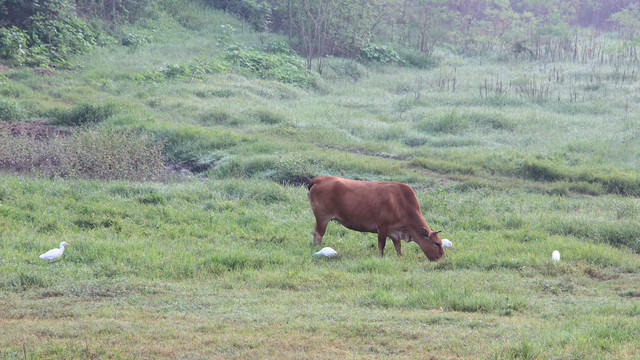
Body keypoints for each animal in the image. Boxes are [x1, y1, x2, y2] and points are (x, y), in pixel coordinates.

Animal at [308, 176, 442, 260]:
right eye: (436, 243)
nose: (441, 256)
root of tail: (319, 179)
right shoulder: (382, 227)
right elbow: (381, 245)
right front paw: (381, 257)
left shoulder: (395, 232)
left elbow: (398, 246)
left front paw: (400, 257)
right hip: (322, 217)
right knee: (318, 234)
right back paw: (318, 248)